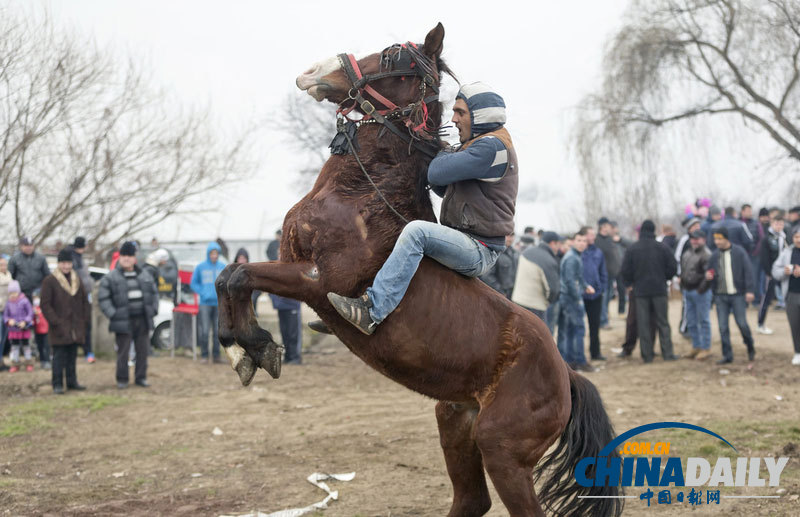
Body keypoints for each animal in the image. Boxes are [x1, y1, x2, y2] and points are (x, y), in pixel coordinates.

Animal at [216, 22, 620, 512]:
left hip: (501, 449)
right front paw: (242, 349)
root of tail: (566, 374)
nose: (314, 71)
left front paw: (255, 349)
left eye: (393, 59)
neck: (360, 195)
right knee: (471, 501)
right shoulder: (291, 265)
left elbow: (239, 276)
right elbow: (226, 278)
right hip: (455, 419)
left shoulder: (315, 280)